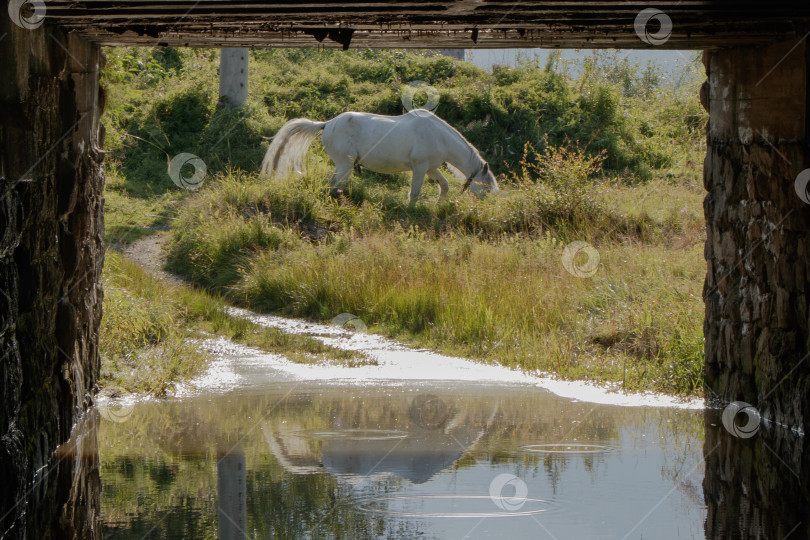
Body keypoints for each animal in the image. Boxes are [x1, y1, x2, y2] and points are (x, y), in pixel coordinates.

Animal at [262, 109, 496, 202]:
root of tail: (327, 124)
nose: (482, 207)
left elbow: (444, 185)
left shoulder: (431, 168)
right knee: (334, 183)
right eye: (486, 188)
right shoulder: (420, 168)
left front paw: (440, 205)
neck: (438, 135)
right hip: (344, 165)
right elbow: (414, 193)